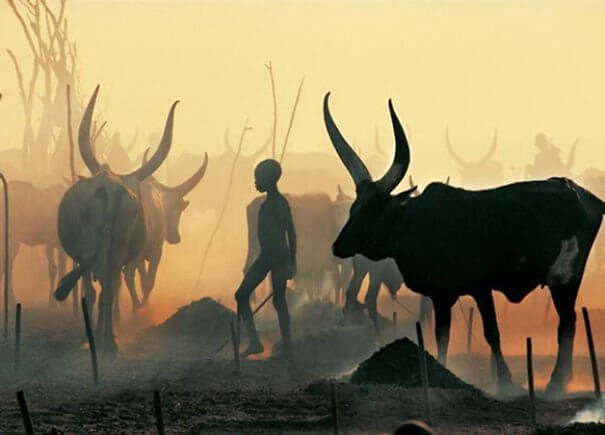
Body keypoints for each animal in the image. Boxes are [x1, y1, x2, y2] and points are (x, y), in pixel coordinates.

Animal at [54, 86, 178, 358]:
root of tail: (107, 186)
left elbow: (95, 292)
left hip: (96, 248)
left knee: (100, 290)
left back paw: (103, 339)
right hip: (114, 248)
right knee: (106, 289)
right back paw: (108, 341)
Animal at [324, 93, 604, 396]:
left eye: (373, 209)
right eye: (353, 207)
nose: (337, 246)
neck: (416, 223)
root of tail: (583, 194)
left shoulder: (481, 288)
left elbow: (491, 332)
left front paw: (506, 382)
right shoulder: (440, 295)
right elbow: (441, 335)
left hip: (566, 277)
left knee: (567, 323)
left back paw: (556, 383)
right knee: (569, 322)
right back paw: (562, 380)